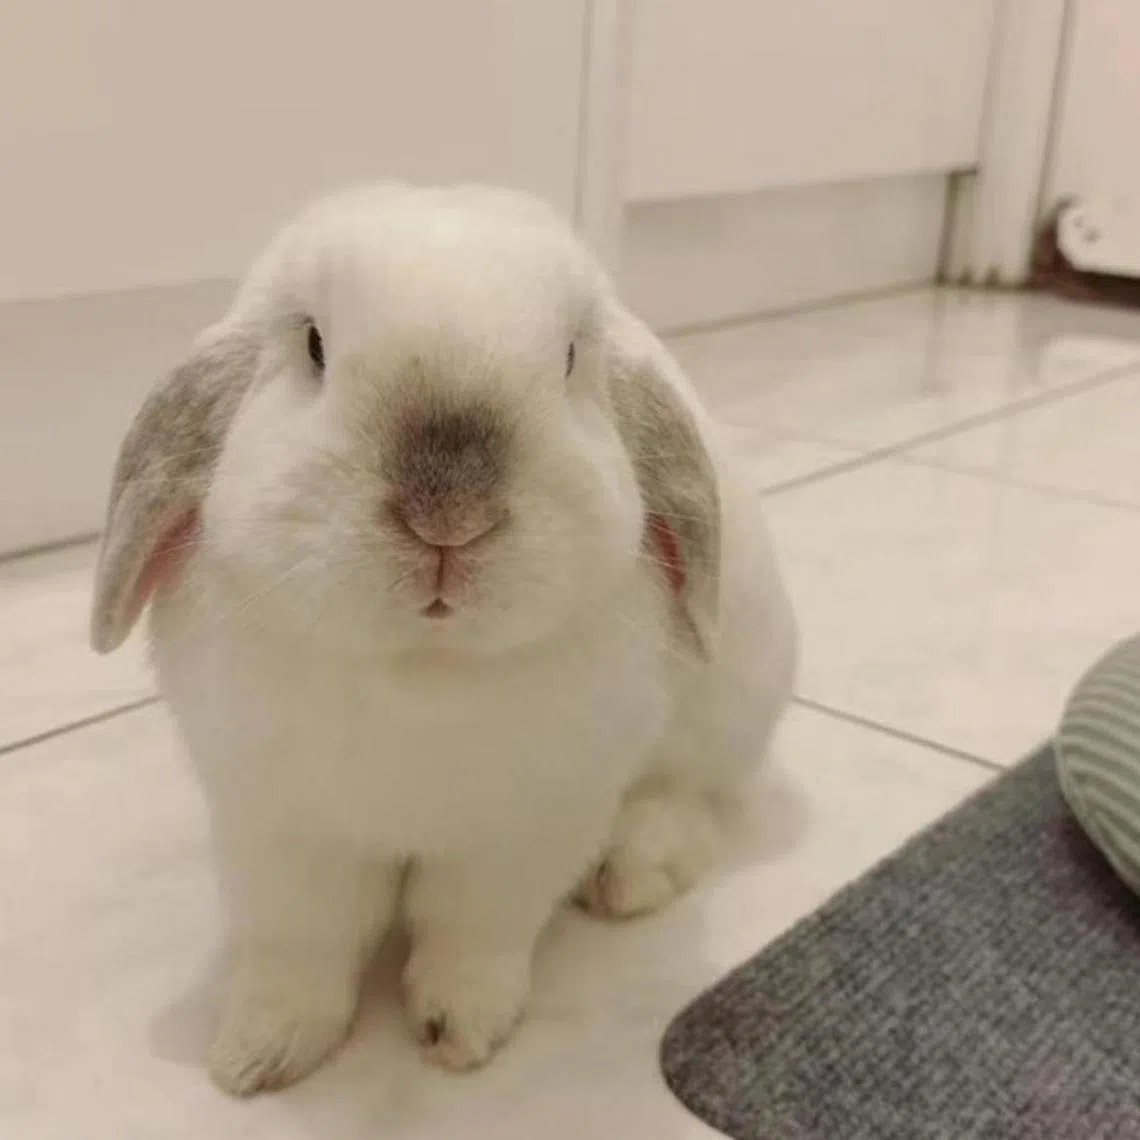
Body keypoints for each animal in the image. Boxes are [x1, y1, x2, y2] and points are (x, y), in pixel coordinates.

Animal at [89, 183, 797, 1095]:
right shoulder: (278, 831)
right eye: (314, 345)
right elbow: (300, 949)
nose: (450, 515)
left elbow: (474, 938)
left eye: (571, 359)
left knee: (694, 799)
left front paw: (454, 1033)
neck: (423, 669)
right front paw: (258, 1056)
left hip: (732, 705)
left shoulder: (523, 834)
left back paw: (631, 873)